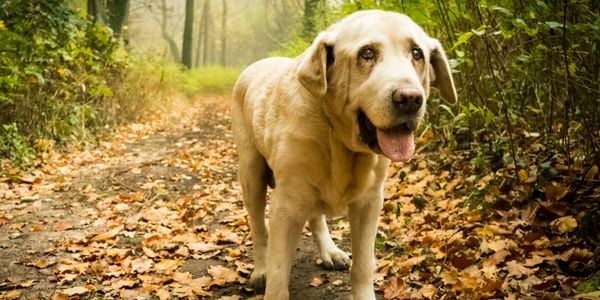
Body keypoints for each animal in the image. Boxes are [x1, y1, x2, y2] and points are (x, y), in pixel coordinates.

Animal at [230, 9, 454, 300]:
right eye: (367, 53)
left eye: (417, 54)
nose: (410, 99)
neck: (339, 141)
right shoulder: (286, 205)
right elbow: (278, 275)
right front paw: (272, 277)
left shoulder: (369, 202)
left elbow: (363, 264)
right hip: (251, 172)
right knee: (258, 227)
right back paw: (260, 270)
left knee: (315, 216)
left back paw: (330, 251)